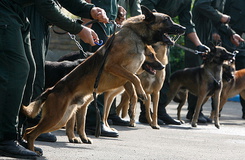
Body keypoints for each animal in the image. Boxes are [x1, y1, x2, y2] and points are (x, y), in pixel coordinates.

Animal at [21, 5, 186, 152]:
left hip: (62, 117)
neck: (136, 35)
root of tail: (52, 89)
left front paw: (135, 102)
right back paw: (31, 149)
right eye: (167, 20)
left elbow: (132, 84)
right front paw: (141, 95)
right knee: (31, 133)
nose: (184, 28)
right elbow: (135, 79)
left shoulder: (126, 75)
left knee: (29, 132)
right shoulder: (113, 66)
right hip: (56, 117)